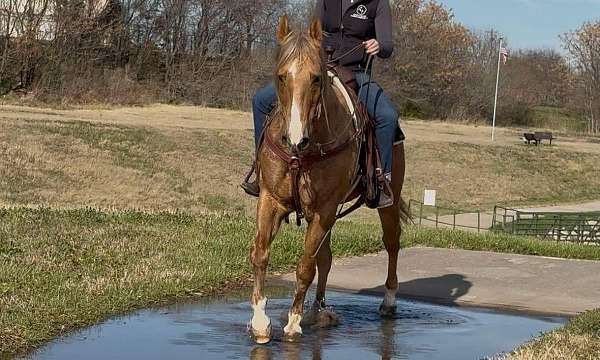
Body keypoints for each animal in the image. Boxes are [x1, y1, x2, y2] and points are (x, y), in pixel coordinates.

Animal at [248, 16, 408, 344]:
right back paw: (318, 309)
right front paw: (260, 321)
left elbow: (305, 266)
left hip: (386, 202)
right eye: (281, 76)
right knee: (327, 257)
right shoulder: (271, 200)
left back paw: (388, 301)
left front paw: (293, 323)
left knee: (392, 243)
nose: (295, 139)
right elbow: (261, 255)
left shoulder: (324, 209)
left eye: (316, 78)